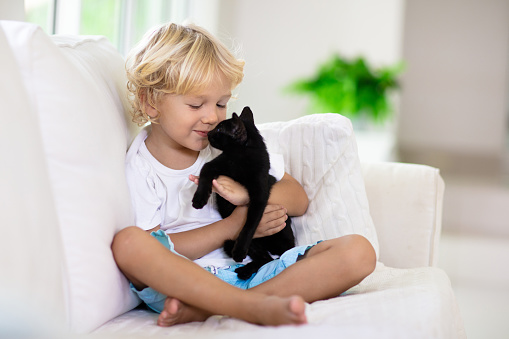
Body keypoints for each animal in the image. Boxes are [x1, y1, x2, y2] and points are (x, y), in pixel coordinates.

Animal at [191, 107, 296, 282]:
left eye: (219, 130)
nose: (208, 133)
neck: (240, 157)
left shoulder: (260, 196)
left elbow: (249, 225)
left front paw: (240, 250)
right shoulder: (215, 165)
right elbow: (205, 172)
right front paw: (199, 199)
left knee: (269, 259)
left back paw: (243, 266)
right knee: (265, 258)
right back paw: (245, 271)